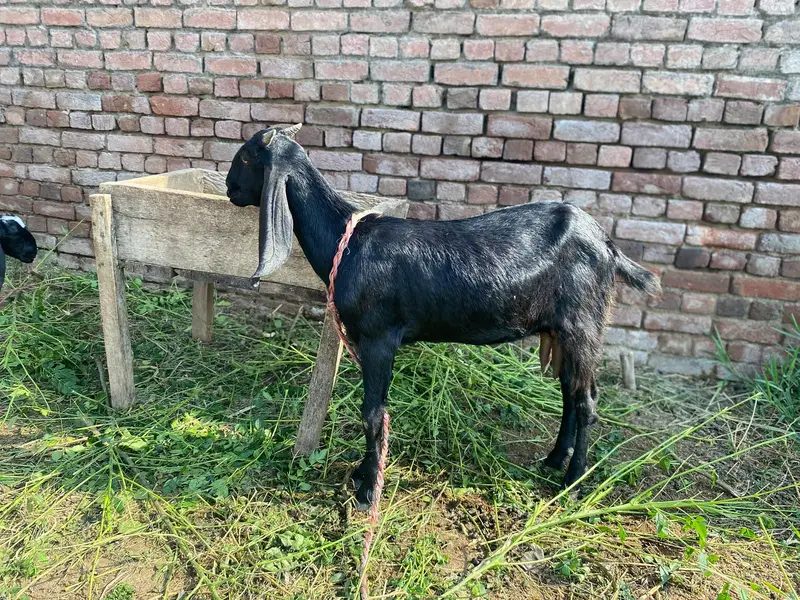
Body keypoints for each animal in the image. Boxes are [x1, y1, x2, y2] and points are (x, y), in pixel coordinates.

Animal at [226, 125, 661, 507]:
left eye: (246, 157)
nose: (230, 189)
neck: (345, 243)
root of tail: (606, 244)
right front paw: (363, 476)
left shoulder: (379, 336)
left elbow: (373, 414)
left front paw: (366, 492)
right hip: (562, 328)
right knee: (570, 391)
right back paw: (554, 461)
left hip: (583, 322)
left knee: (586, 400)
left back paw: (572, 483)